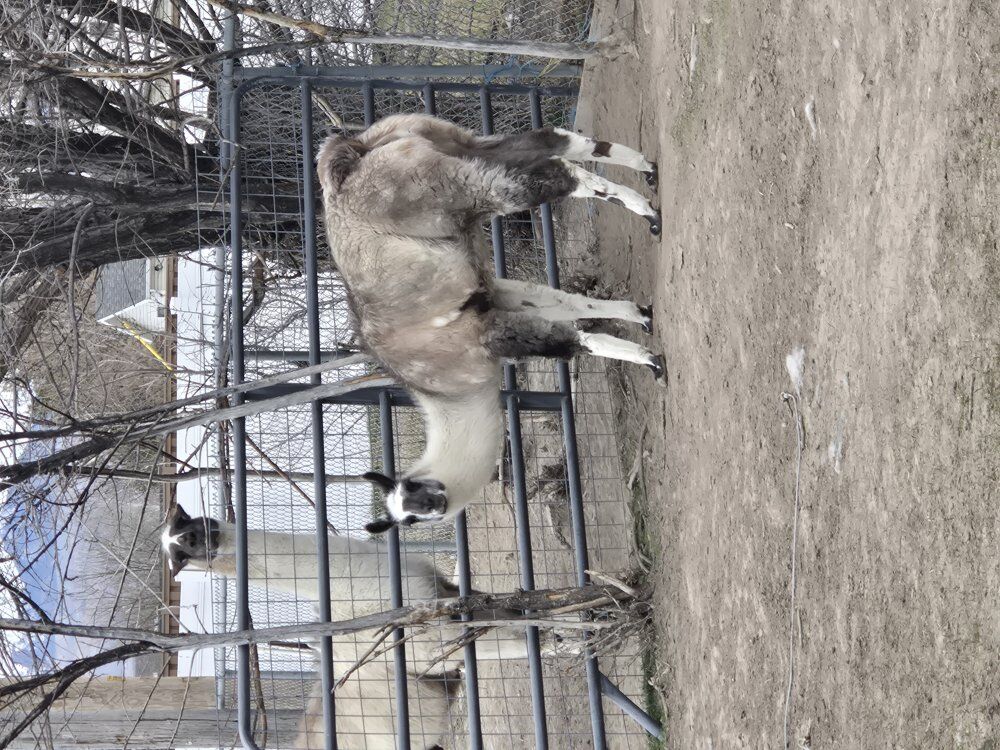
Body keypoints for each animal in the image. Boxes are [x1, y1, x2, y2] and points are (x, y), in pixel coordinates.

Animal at [162, 505, 559, 749]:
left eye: (190, 529)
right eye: (181, 547)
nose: (205, 538)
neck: (350, 587)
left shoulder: (448, 598)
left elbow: (518, 612)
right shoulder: (433, 642)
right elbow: (522, 640)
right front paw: (563, 638)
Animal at [317, 115, 663, 532]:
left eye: (414, 503)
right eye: (410, 519)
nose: (433, 503)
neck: (452, 390)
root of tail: (353, 156)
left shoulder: (484, 335)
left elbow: (571, 340)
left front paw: (652, 361)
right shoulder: (493, 296)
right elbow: (566, 303)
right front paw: (639, 314)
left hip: (453, 184)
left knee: (554, 176)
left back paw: (647, 211)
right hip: (463, 147)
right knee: (554, 143)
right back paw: (647, 171)